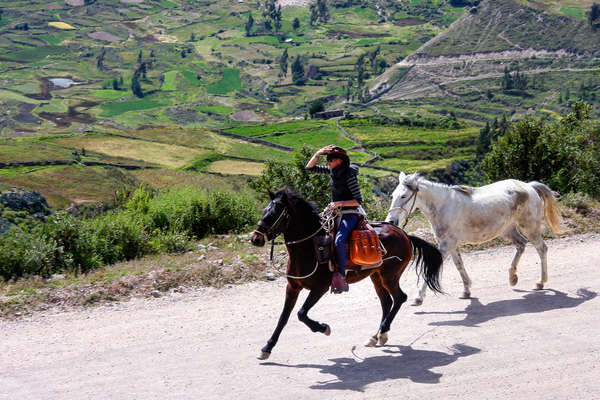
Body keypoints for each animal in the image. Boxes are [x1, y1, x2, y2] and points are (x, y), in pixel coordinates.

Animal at [251, 188, 442, 360]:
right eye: (264, 211)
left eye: (273, 214)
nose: (255, 238)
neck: (311, 248)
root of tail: (405, 235)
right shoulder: (292, 287)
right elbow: (283, 318)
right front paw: (267, 347)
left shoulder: (320, 287)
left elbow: (301, 313)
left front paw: (323, 328)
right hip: (376, 276)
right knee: (387, 302)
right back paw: (376, 336)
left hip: (390, 275)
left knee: (400, 298)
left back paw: (383, 331)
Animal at [384, 172, 564, 306]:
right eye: (393, 195)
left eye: (404, 196)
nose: (391, 222)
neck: (444, 207)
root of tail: (529, 187)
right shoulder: (451, 245)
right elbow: (459, 265)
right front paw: (466, 291)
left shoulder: (446, 245)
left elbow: (432, 269)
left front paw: (418, 298)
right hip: (508, 230)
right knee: (521, 245)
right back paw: (512, 277)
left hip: (529, 227)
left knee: (541, 248)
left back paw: (540, 282)